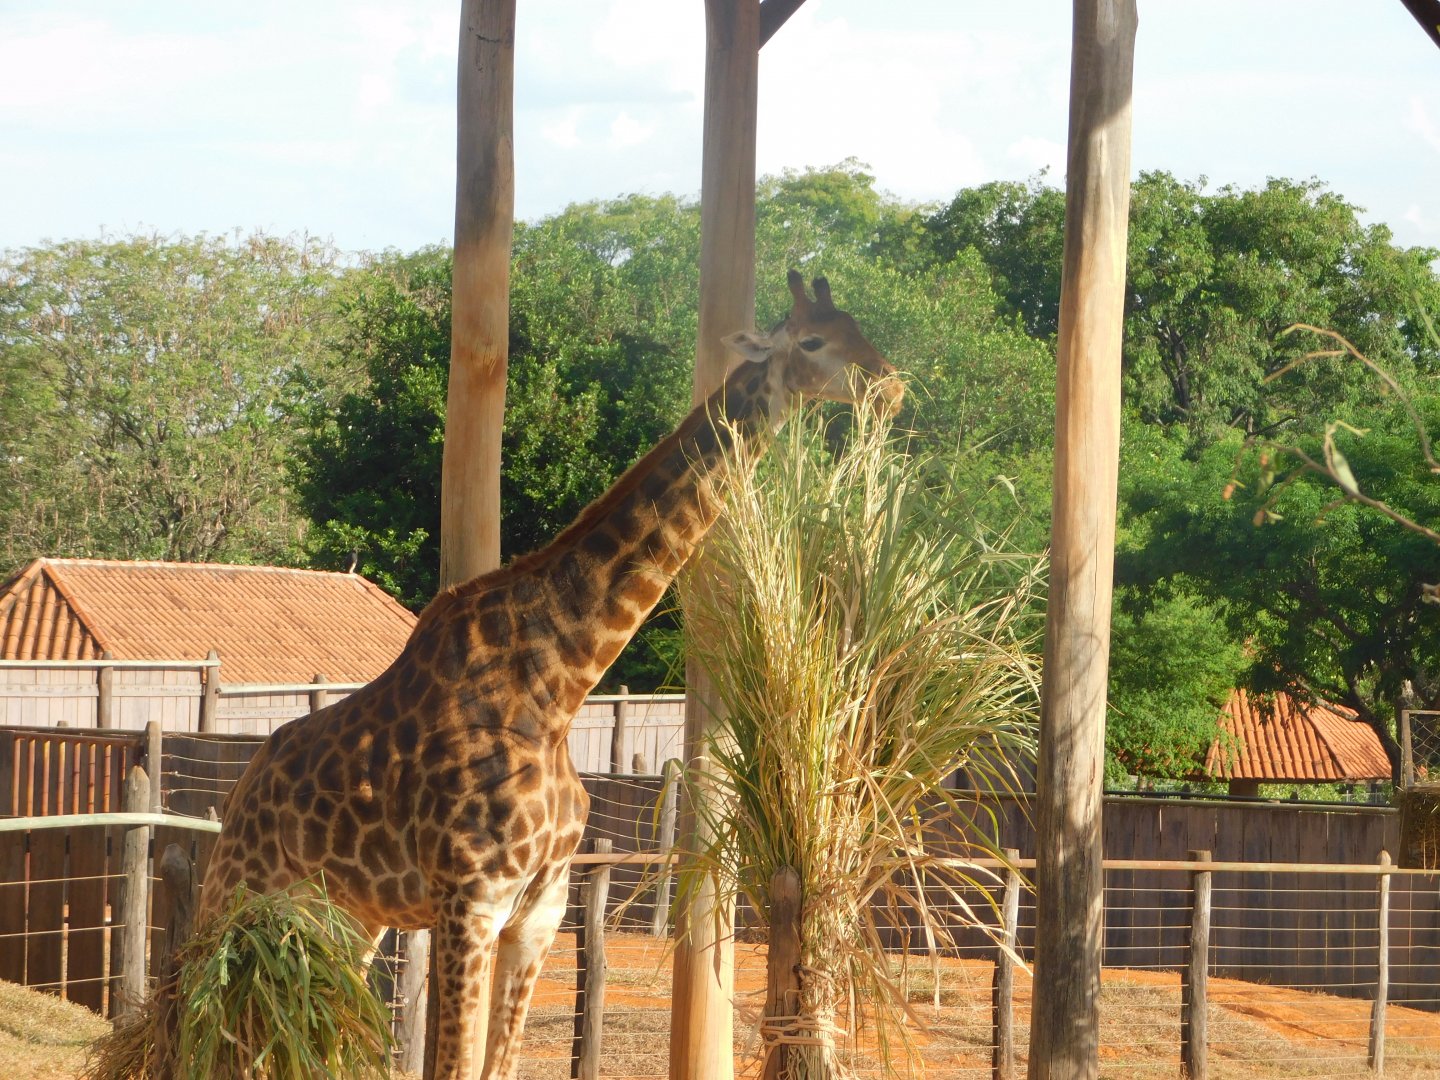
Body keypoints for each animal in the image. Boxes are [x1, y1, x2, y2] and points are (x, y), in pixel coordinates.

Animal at [196, 270, 901, 1080]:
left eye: (858, 326)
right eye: (814, 340)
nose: (890, 386)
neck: (556, 688)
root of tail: (242, 787)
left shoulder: (538, 911)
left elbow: (493, 1067)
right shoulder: (470, 903)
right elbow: (452, 1066)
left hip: (341, 918)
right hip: (240, 896)